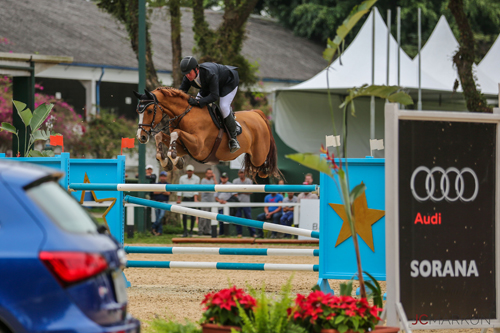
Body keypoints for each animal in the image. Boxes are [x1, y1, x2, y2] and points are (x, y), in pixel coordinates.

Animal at [133, 87, 282, 178]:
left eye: (149, 111)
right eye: (137, 111)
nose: (141, 137)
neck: (186, 115)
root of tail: (256, 114)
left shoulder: (198, 147)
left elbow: (176, 132)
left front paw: (174, 158)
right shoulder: (184, 148)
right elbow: (161, 135)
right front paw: (168, 162)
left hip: (258, 156)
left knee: (263, 167)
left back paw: (267, 170)